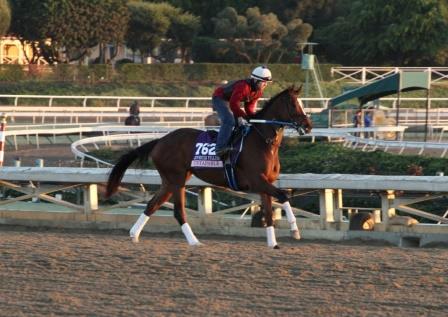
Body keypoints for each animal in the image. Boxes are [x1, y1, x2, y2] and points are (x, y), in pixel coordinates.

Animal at [107, 85, 314, 248]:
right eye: (294, 104)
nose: (308, 126)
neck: (262, 141)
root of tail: (160, 141)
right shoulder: (257, 181)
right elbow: (284, 196)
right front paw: (295, 230)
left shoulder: (265, 184)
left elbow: (270, 212)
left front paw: (273, 243)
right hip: (177, 179)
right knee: (178, 211)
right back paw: (194, 242)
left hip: (170, 180)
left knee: (152, 205)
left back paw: (134, 235)